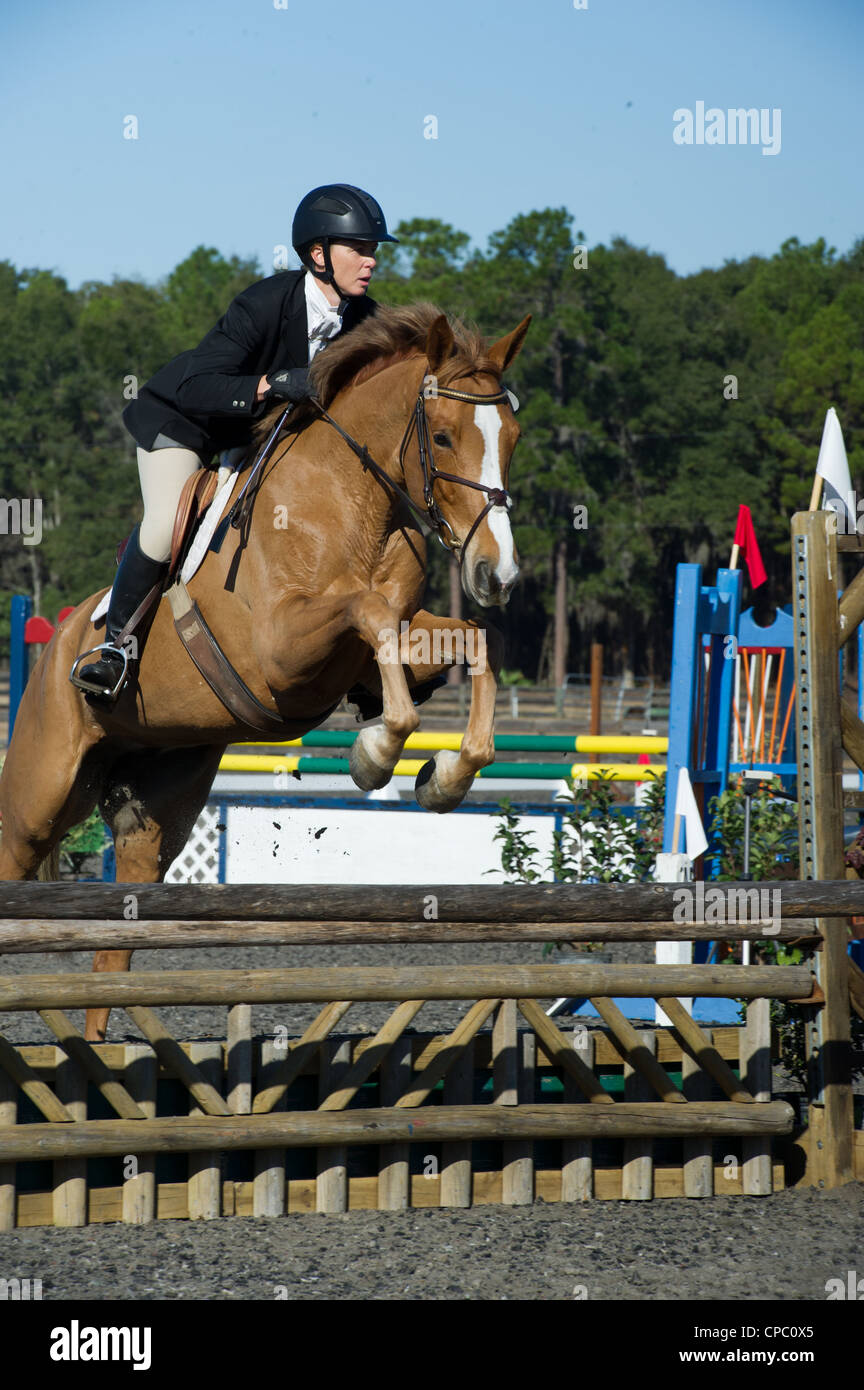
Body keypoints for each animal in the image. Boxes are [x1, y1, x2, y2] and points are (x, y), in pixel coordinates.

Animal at [0, 307, 530, 1045]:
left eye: (512, 437)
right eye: (445, 437)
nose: (497, 575)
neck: (354, 502)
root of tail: (58, 642)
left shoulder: (396, 636)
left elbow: (470, 638)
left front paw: (446, 776)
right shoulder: (280, 648)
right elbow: (367, 614)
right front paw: (376, 754)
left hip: (156, 807)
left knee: (116, 941)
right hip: (40, 795)